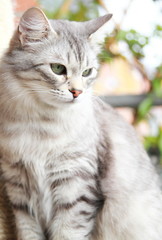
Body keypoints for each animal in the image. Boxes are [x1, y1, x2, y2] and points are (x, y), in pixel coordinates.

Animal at [0, 6, 162, 239]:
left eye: (87, 72)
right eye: (58, 68)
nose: (77, 92)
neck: (41, 125)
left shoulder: (76, 185)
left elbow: (68, 232)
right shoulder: (18, 189)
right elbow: (28, 233)